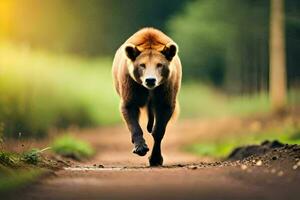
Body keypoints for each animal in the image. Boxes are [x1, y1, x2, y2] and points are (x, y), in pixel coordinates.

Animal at [112, 27, 182, 166]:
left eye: (159, 64)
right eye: (142, 65)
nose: (150, 80)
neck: (149, 90)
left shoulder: (165, 90)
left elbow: (160, 128)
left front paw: (155, 158)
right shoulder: (131, 85)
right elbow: (130, 110)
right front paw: (140, 148)